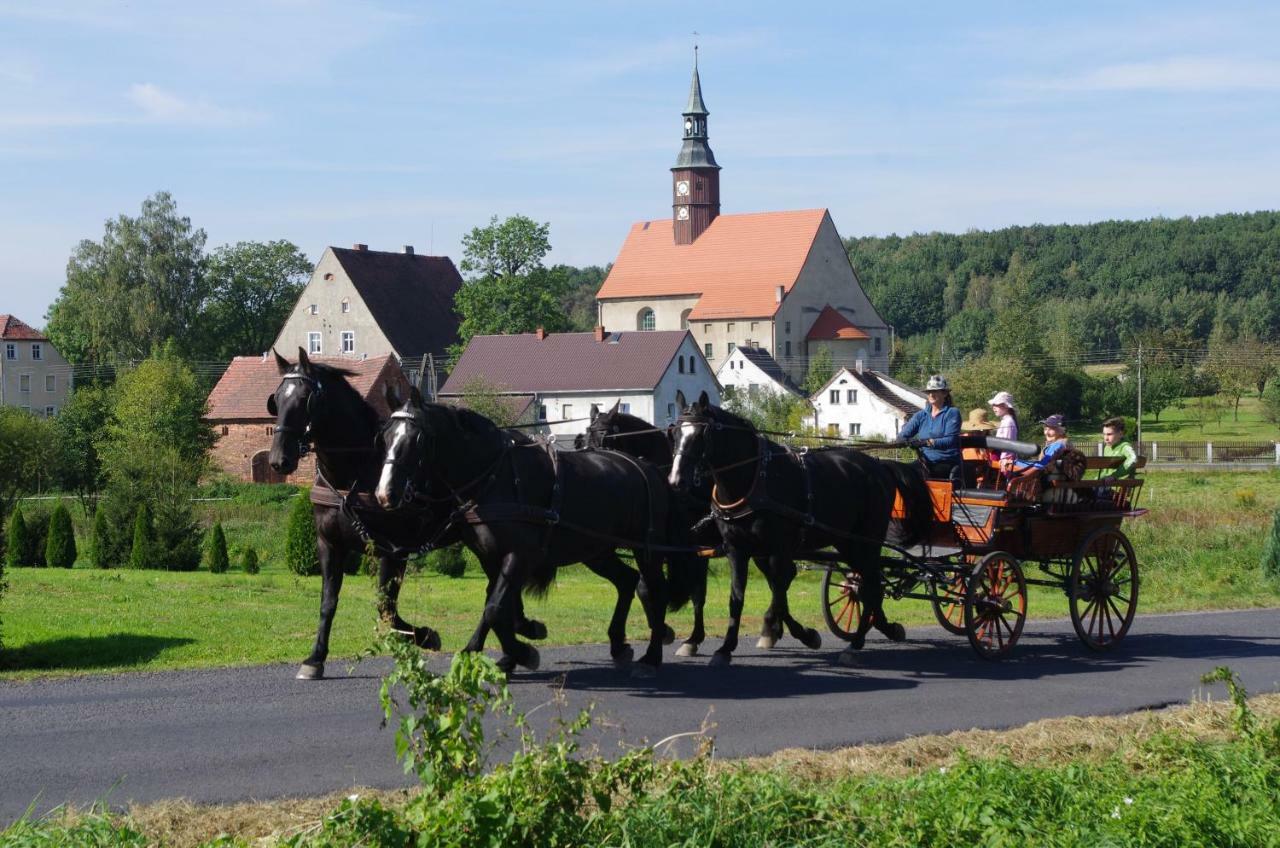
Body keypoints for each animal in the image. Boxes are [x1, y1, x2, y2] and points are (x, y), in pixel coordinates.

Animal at [264, 348, 545, 681]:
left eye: (305, 398)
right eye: (277, 399)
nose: (279, 459)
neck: (356, 472)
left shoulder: (393, 549)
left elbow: (386, 607)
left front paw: (425, 635)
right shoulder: (329, 544)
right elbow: (328, 602)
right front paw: (315, 657)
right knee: (500, 590)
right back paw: (517, 641)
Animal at [373, 397, 686, 676]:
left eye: (417, 440)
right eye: (385, 437)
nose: (385, 493)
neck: (494, 477)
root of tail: (647, 467)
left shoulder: (520, 555)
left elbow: (495, 608)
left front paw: (520, 652)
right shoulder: (490, 557)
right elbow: (497, 606)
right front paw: (494, 650)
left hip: (646, 548)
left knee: (654, 589)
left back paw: (652, 656)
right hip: (597, 550)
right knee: (627, 580)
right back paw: (618, 643)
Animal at [578, 404, 711, 655]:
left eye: (606, 436)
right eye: (587, 435)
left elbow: (691, 589)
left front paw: (680, 635)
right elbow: (644, 586)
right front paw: (662, 629)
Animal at [670, 394, 931, 666]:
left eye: (701, 434)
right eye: (675, 433)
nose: (676, 480)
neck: (755, 478)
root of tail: (880, 465)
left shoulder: (778, 550)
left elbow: (778, 591)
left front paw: (804, 634)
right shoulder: (736, 550)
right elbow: (738, 598)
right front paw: (725, 648)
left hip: (867, 540)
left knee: (870, 585)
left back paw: (857, 642)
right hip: (847, 542)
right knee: (868, 585)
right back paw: (880, 628)